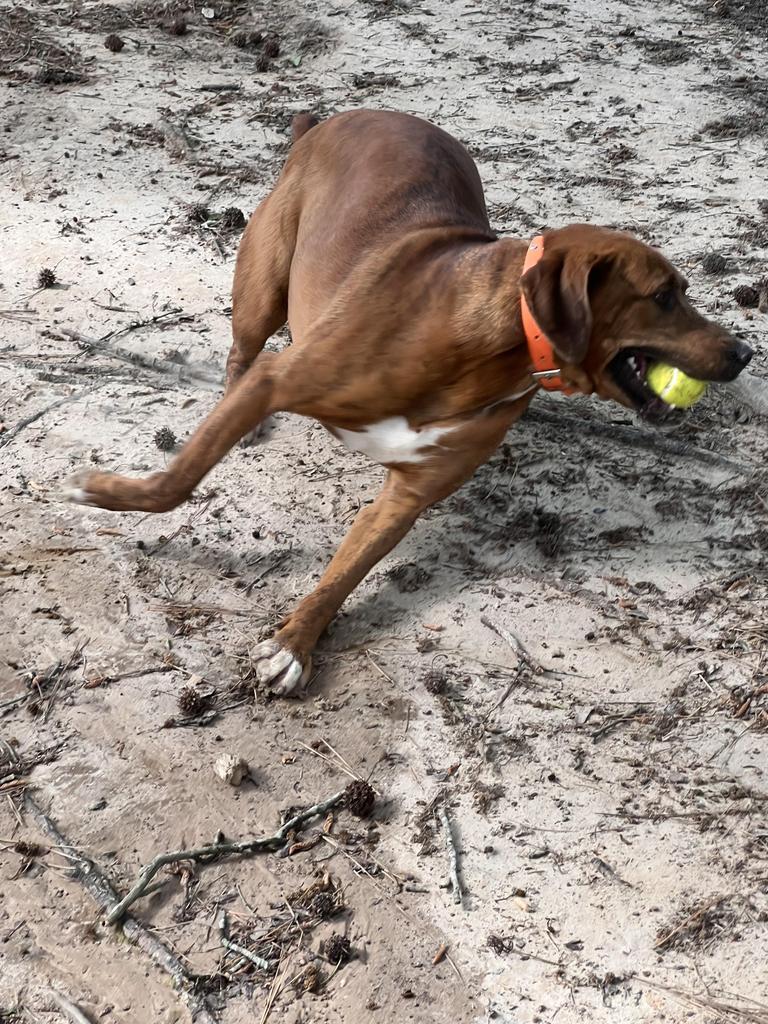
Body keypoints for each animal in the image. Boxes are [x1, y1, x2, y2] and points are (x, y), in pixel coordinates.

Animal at [63, 108, 753, 692]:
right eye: (663, 296)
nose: (744, 352)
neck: (492, 342)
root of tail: (332, 119)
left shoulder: (408, 495)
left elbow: (345, 571)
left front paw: (295, 643)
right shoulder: (278, 381)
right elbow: (176, 482)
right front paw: (103, 493)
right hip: (263, 286)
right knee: (241, 353)